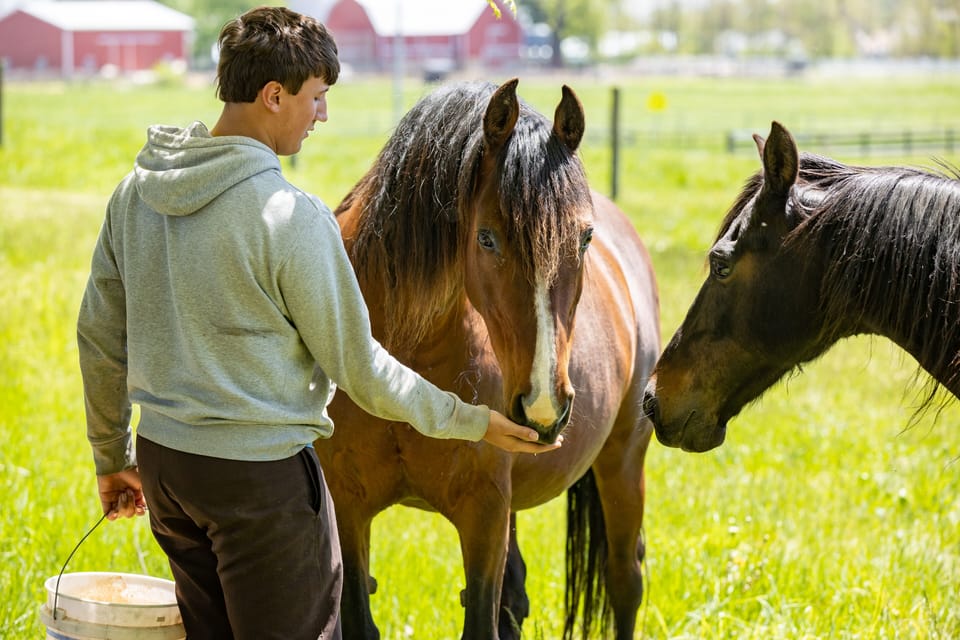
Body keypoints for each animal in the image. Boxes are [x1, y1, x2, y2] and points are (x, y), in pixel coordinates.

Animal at [314, 78, 660, 640]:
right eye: (486, 238)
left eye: (585, 237)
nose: (543, 407)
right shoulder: (348, 507)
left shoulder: (484, 514)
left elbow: (481, 619)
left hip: (624, 459)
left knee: (624, 581)